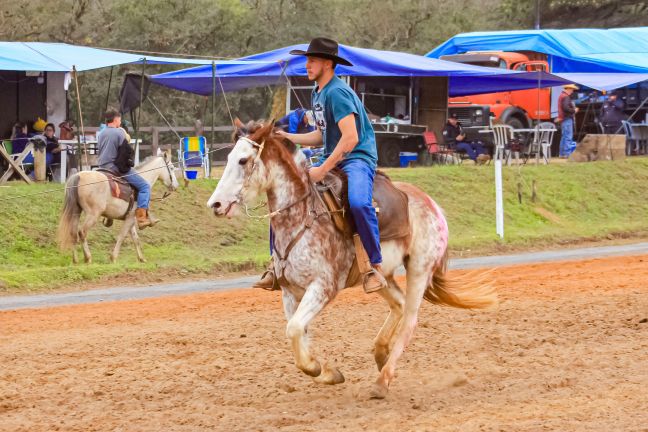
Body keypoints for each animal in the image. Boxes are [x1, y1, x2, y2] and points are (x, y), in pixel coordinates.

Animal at [208, 120, 496, 398]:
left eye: (243, 160)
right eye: (229, 157)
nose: (216, 204)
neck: (303, 216)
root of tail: (432, 204)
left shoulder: (323, 287)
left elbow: (294, 329)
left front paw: (318, 368)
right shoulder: (290, 292)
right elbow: (297, 332)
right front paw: (328, 373)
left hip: (419, 269)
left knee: (410, 320)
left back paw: (382, 381)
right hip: (382, 275)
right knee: (399, 304)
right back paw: (381, 353)